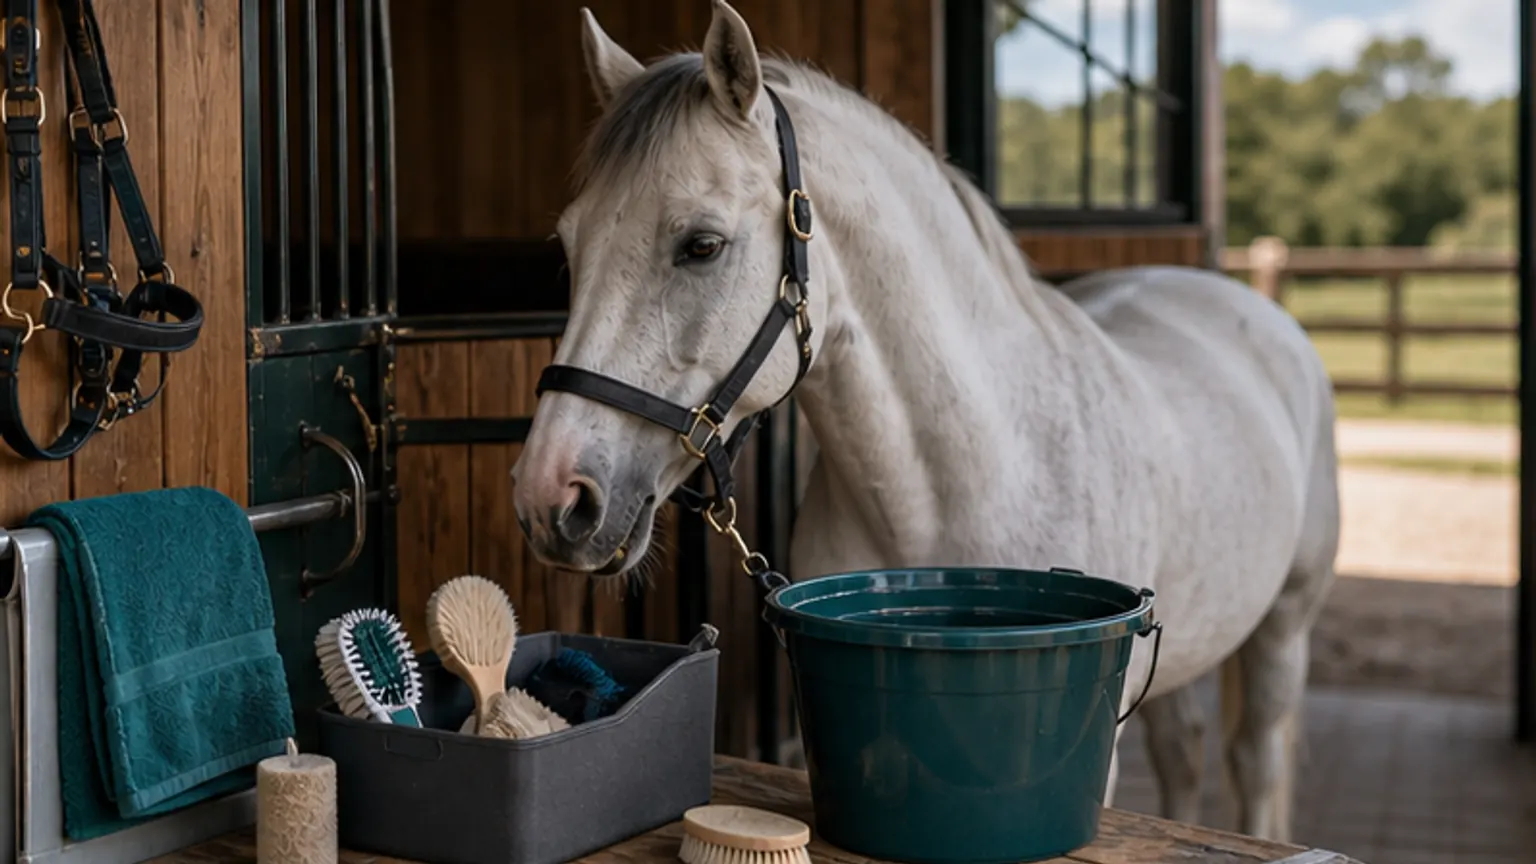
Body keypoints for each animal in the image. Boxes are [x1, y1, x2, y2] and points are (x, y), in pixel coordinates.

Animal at [510, 0, 1340, 843]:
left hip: (1284, 630)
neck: (975, 470)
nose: (552, 497)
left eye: (701, 244)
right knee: (1185, 755)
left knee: (1254, 759)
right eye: (570, 244)